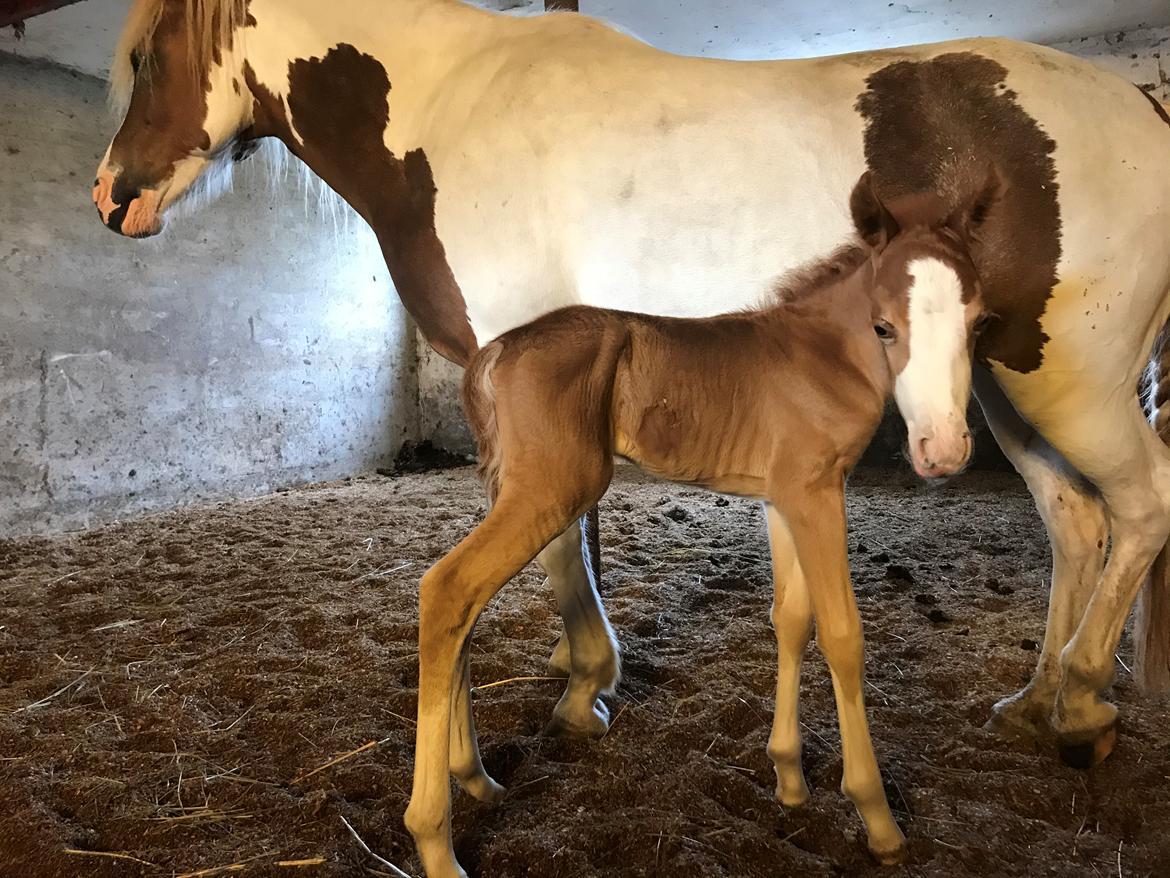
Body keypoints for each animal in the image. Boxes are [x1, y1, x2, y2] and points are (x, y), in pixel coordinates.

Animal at [93, 0, 1170, 767]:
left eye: (145, 59)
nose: (112, 196)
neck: (448, 112)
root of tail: (1144, 109)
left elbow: (558, 540)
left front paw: (584, 685)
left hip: (1066, 380)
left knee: (1141, 503)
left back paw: (1081, 698)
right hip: (993, 388)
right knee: (1077, 518)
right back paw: (1034, 698)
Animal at [407, 175, 992, 875]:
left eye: (979, 322)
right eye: (884, 326)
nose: (944, 451)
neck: (822, 355)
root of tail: (494, 351)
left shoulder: (782, 499)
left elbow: (791, 620)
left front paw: (789, 777)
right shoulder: (817, 493)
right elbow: (843, 634)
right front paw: (876, 817)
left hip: (521, 490)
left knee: (464, 607)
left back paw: (476, 777)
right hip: (552, 490)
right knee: (448, 589)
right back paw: (436, 841)